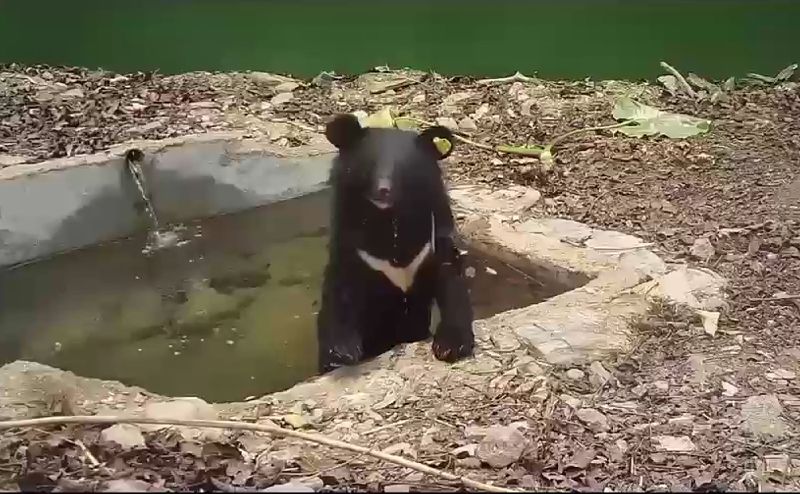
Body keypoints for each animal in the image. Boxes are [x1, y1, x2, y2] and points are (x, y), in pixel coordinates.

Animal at [316, 113, 475, 373]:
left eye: (404, 170)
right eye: (369, 165)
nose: (384, 190)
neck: (388, 219)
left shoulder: (433, 240)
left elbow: (451, 281)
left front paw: (450, 346)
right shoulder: (352, 247)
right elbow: (340, 292)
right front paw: (341, 353)